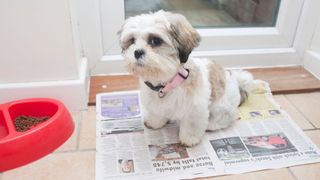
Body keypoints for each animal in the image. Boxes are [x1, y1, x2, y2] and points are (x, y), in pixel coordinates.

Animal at [117, 10, 252, 147]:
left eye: (155, 41)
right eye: (132, 41)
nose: (137, 52)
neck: (166, 84)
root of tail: (236, 82)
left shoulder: (195, 109)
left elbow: (191, 124)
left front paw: (189, 138)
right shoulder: (156, 104)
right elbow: (157, 113)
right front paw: (155, 122)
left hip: (222, 106)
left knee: (226, 118)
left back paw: (211, 124)